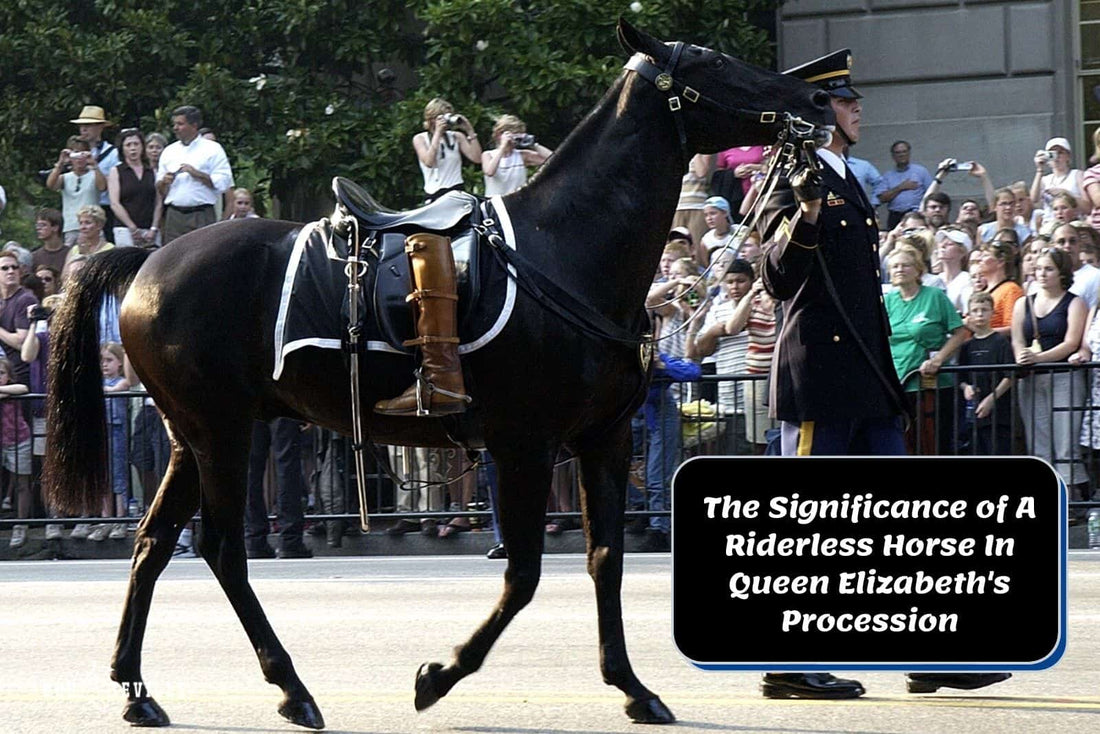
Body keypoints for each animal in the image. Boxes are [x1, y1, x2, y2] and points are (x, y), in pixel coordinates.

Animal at [45, 20, 831, 730]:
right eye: (711, 62)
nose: (817, 98)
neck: (565, 249)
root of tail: (148, 260)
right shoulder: (524, 445)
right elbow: (524, 574)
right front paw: (440, 675)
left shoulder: (602, 440)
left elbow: (604, 557)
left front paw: (633, 687)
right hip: (222, 433)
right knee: (220, 549)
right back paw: (291, 688)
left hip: (192, 436)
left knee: (152, 542)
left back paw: (136, 689)